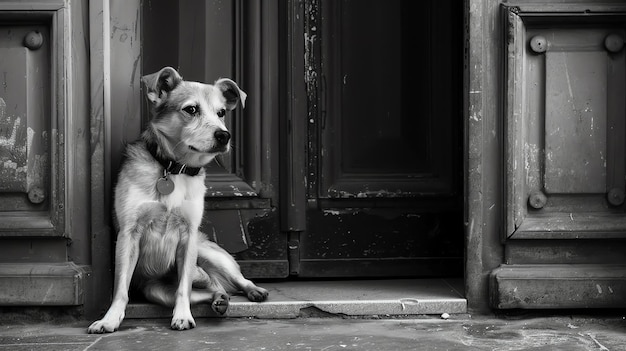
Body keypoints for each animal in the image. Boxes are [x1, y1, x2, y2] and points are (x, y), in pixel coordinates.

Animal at [86, 67, 266, 334]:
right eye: (191, 109)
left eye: (221, 112)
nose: (224, 135)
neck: (174, 168)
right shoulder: (129, 234)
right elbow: (121, 290)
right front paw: (109, 319)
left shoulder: (189, 236)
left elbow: (184, 287)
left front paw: (182, 316)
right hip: (156, 290)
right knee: (212, 289)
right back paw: (219, 300)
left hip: (210, 254)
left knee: (234, 280)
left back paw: (254, 291)